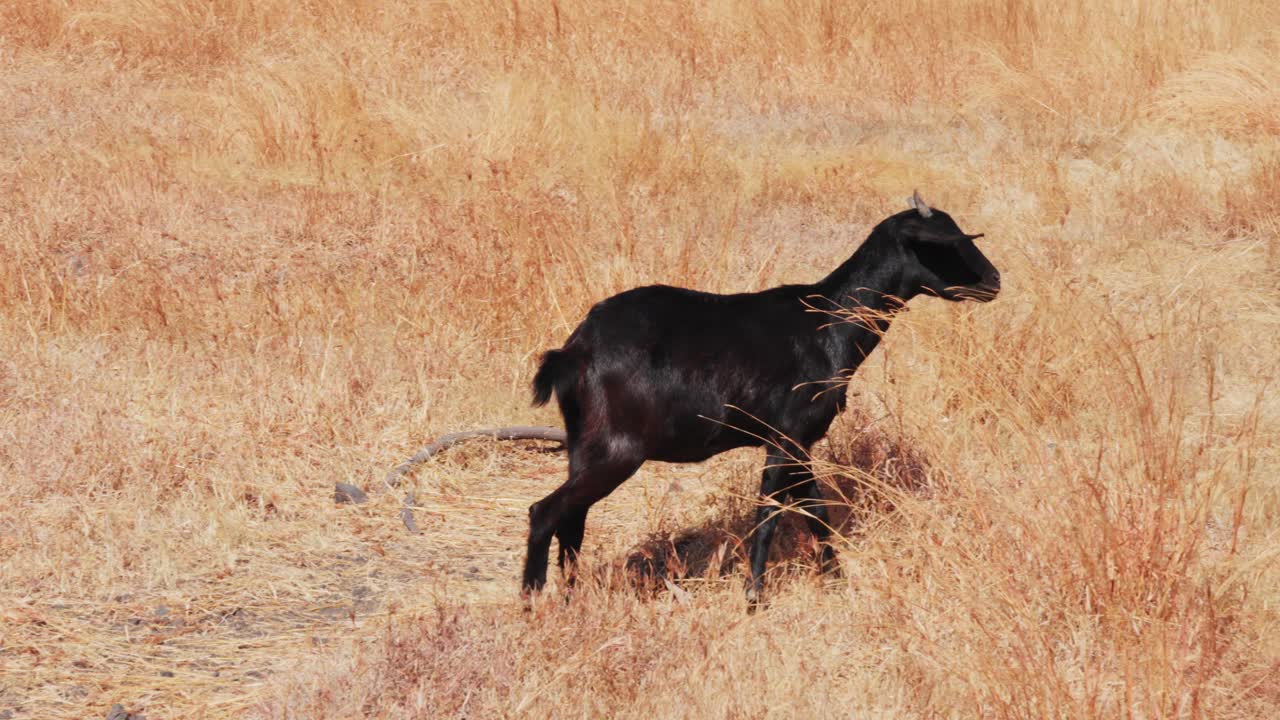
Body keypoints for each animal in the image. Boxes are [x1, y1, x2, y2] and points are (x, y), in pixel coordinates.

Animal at [523, 191, 1000, 605]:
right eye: (950, 243)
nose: (995, 280)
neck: (828, 322)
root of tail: (573, 352)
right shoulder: (784, 438)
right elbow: (769, 516)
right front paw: (754, 595)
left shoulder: (800, 443)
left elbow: (816, 511)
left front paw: (835, 579)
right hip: (619, 449)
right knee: (545, 511)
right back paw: (532, 601)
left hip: (584, 443)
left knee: (573, 518)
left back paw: (570, 597)